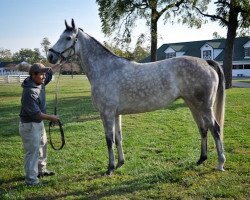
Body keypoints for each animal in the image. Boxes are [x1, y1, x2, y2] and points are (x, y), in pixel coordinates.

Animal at [47, 19, 226, 175]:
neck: (105, 69)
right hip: (193, 104)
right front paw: (120, 163)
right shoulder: (116, 114)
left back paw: (220, 163)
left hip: (204, 106)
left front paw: (110, 168)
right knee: (203, 128)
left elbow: (109, 140)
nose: (50, 56)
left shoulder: (106, 114)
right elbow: (118, 138)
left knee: (215, 128)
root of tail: (206, 62)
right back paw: (201, 159)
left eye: (68, 38)